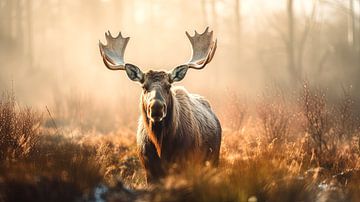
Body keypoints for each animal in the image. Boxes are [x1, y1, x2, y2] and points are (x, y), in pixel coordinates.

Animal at [99, 26, 222, 183]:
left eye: (168, 86)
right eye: (144, 87)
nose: (156, 107)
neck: (161, 148)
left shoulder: (186, 163)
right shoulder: (149, 169)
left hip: (213, 158)